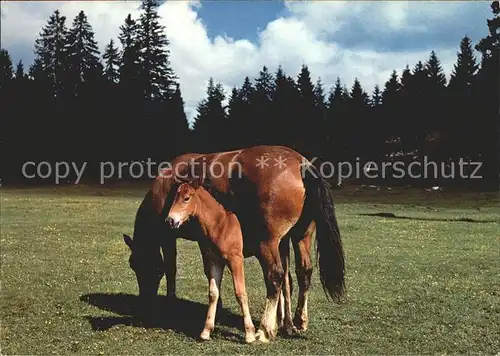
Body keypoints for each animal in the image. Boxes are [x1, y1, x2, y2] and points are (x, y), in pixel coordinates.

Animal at [166, 179, 256, 344]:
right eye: (175, 196)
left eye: (186, 198)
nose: (170, 220)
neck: (221, 225)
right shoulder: (215, 260)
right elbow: (213, 293)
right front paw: (206, 331)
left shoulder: (235, 260)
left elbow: (240, 293)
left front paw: (250, 334)